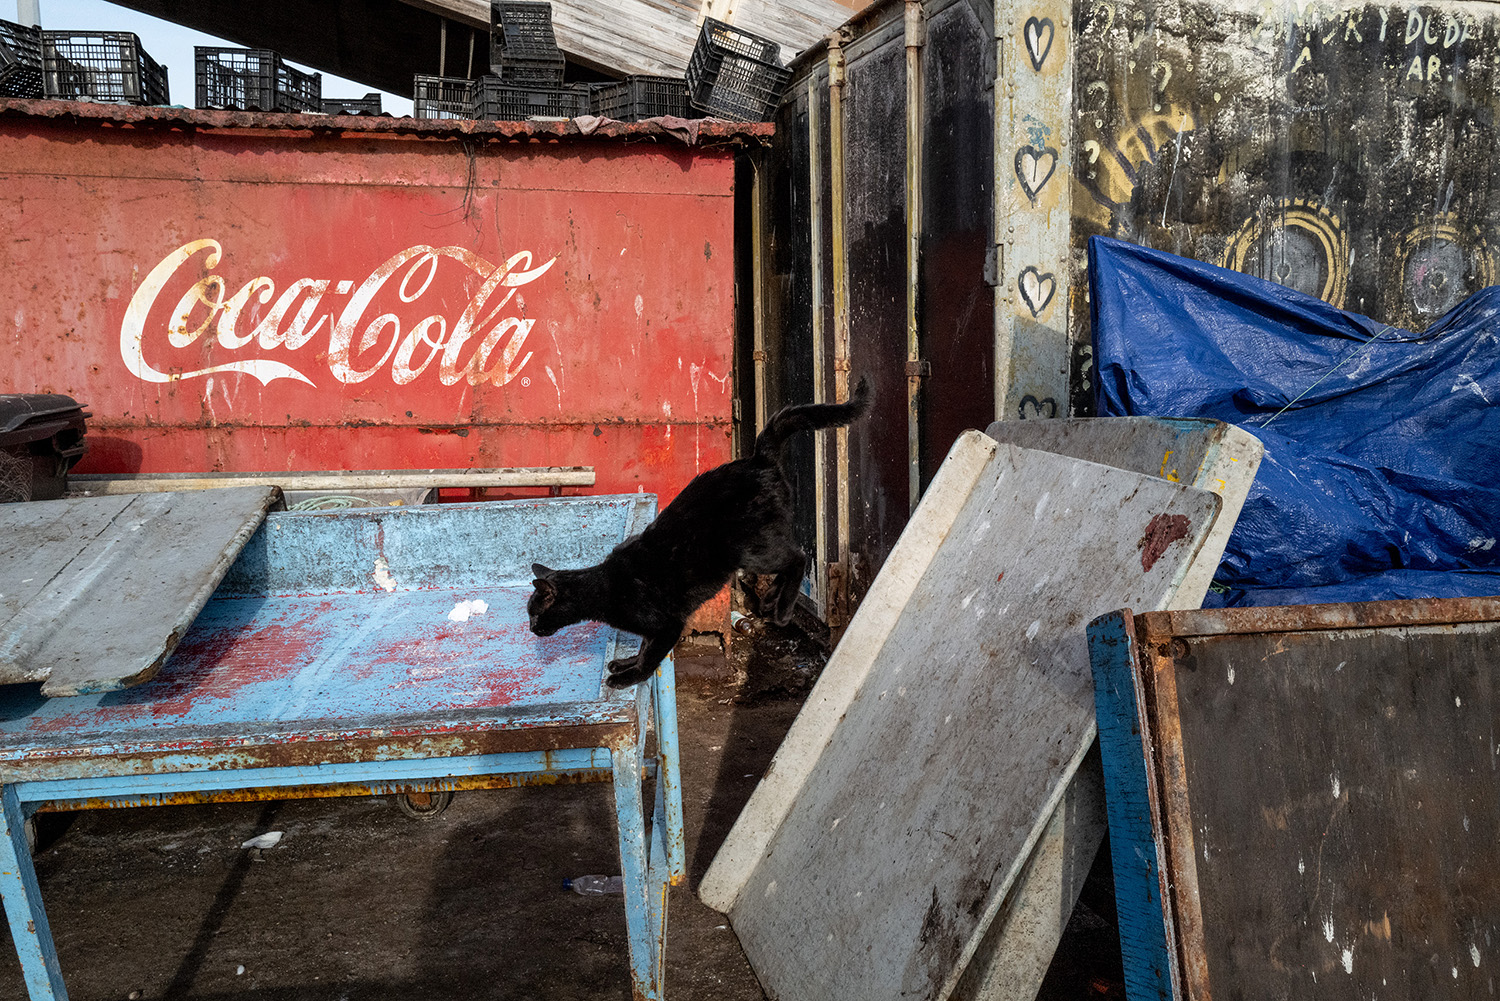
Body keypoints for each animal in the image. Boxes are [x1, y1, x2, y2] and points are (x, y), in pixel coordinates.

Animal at [528, 376, 872, 688]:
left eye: (534, 613)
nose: (531, 629)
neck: (603, 586)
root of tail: (758, 458)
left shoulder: (668, 624)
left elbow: (650, 656)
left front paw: (629, 676)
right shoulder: (656, 629)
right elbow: (643, 647)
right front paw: (626, 663)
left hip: (750, 548)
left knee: (797, 557)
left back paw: (783, 611)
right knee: (788, 560)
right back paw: (769, 601)